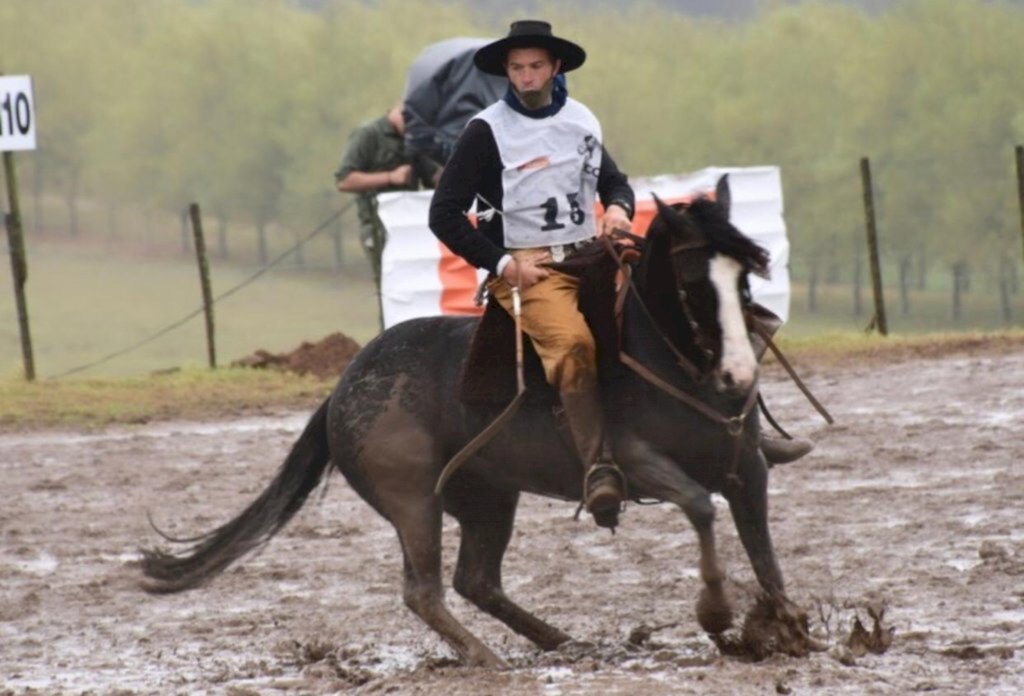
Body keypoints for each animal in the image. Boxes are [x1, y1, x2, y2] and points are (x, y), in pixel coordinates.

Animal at [142, 177, 815, 667]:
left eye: (745, 273)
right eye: (692, 281)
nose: (737, 375)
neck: (664, 358)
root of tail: (339, 391)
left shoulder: (748, 469)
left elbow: (762, 548)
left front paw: (789, 628)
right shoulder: (638, 462)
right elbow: (700, 506)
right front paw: (718, 615)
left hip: (489, 498)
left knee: (477, 581)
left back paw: (562, 641)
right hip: (414, 501)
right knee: (426, 590)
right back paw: (485, 657)